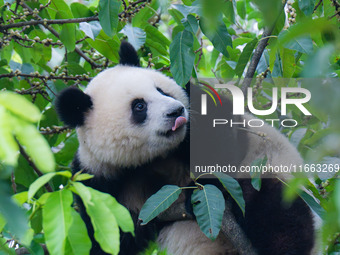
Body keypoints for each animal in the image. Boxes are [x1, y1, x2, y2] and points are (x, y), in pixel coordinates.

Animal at [55, 40, 316, 254]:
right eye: (139, 106)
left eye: (161, 90)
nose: (177, 111)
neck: (154, 156)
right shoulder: (98, 178)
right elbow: (116, 234)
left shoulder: (199, 108)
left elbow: (222, 142)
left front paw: (206, 190)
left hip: (271, 172)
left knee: (276, 211)